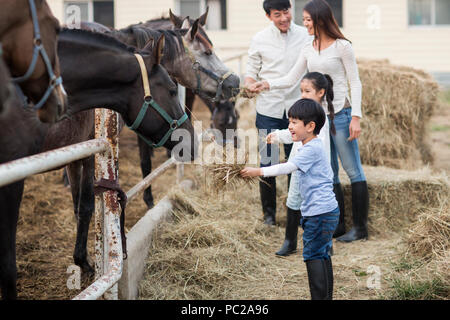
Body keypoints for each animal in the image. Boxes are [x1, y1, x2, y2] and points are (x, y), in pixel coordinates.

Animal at [0, 28, 197, 300]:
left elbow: (79, 208)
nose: (192, 140)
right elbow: (84, 208)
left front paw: (82, 259)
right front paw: (85, 263)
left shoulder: (75, 156)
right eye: (171, 90)